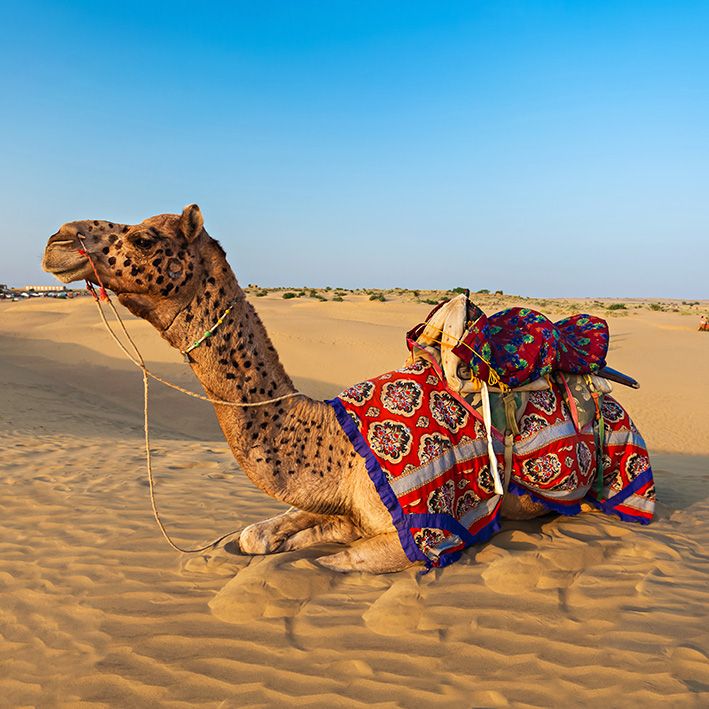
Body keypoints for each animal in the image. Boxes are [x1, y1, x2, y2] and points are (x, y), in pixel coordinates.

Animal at [44, 202, 564, 572]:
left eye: (145, 237)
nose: (57, 239)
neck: (337, 443)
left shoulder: (424, 536)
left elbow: (333, 561)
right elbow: (255, 536)